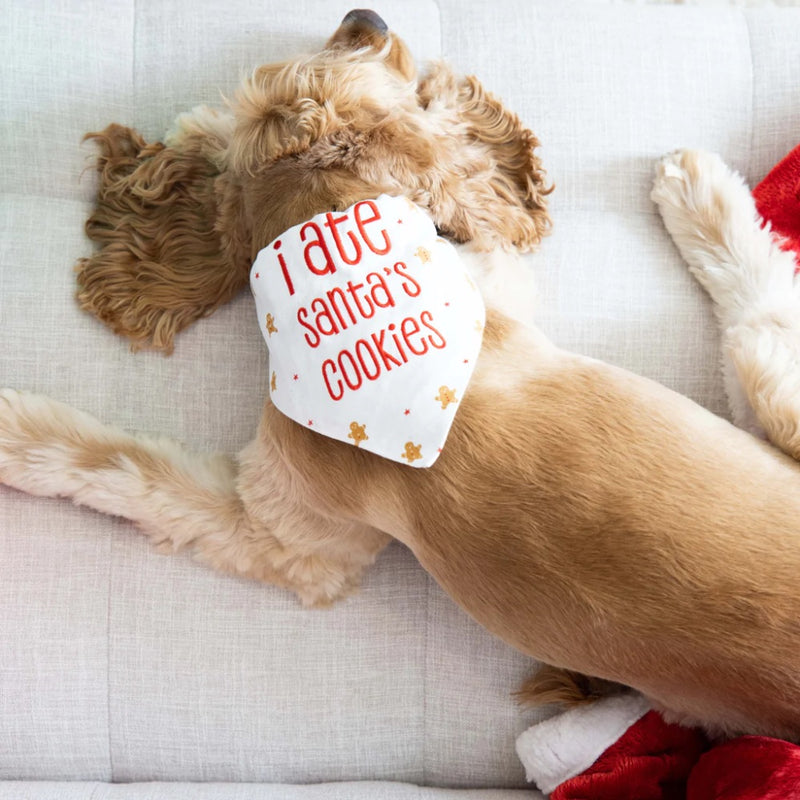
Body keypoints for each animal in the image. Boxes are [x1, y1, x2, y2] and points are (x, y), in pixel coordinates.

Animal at [1, 9, 800, 740]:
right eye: (350, 53)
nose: (366, 18)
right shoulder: (293, 541)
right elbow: (127, 470)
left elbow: (129, 471)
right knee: (761, 325)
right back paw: (701, 186)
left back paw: (696, 184)